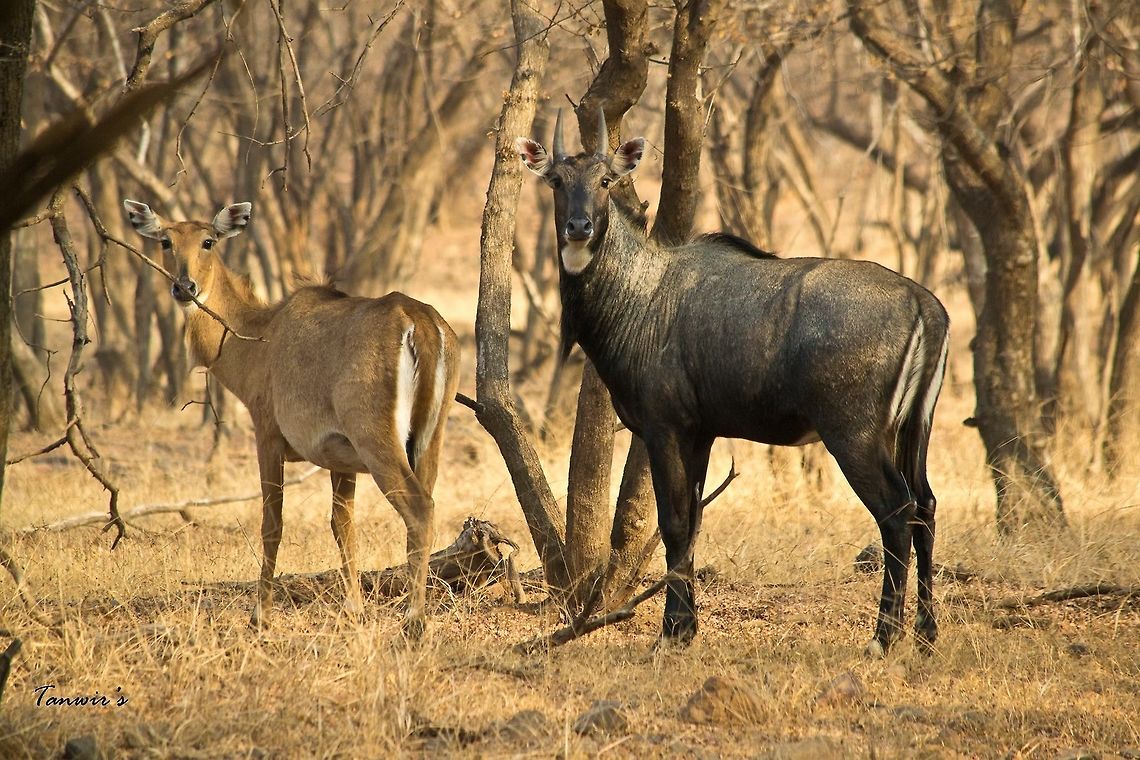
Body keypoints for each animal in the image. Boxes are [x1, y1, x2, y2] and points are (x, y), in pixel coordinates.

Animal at [123, 199, 460, 637]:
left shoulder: (266, 435)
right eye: (166, 241)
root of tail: (418, 321)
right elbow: (341, 524)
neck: (256, 335)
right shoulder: (340, 458)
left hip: (378, 441)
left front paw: (260, 614)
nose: (184, 288)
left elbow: (272, 523)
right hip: (429, 439)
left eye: (208, 241)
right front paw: (353, 607)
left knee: (418, 510)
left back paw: (414, 620)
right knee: (430, 504)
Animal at [516, 112, 950, 656]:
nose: (579, 227)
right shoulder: (700, 433)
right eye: (556, 181)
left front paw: (670, 634)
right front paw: (686, 628)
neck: (640, 294)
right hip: (914, 428)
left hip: (855, 435)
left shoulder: (664, 428)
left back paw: (883, 638)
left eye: (606, 180)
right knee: (926, 506)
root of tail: (924, 303)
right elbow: (693, 523)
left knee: (896, 511)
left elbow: (674, 522)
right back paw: (927, 634)